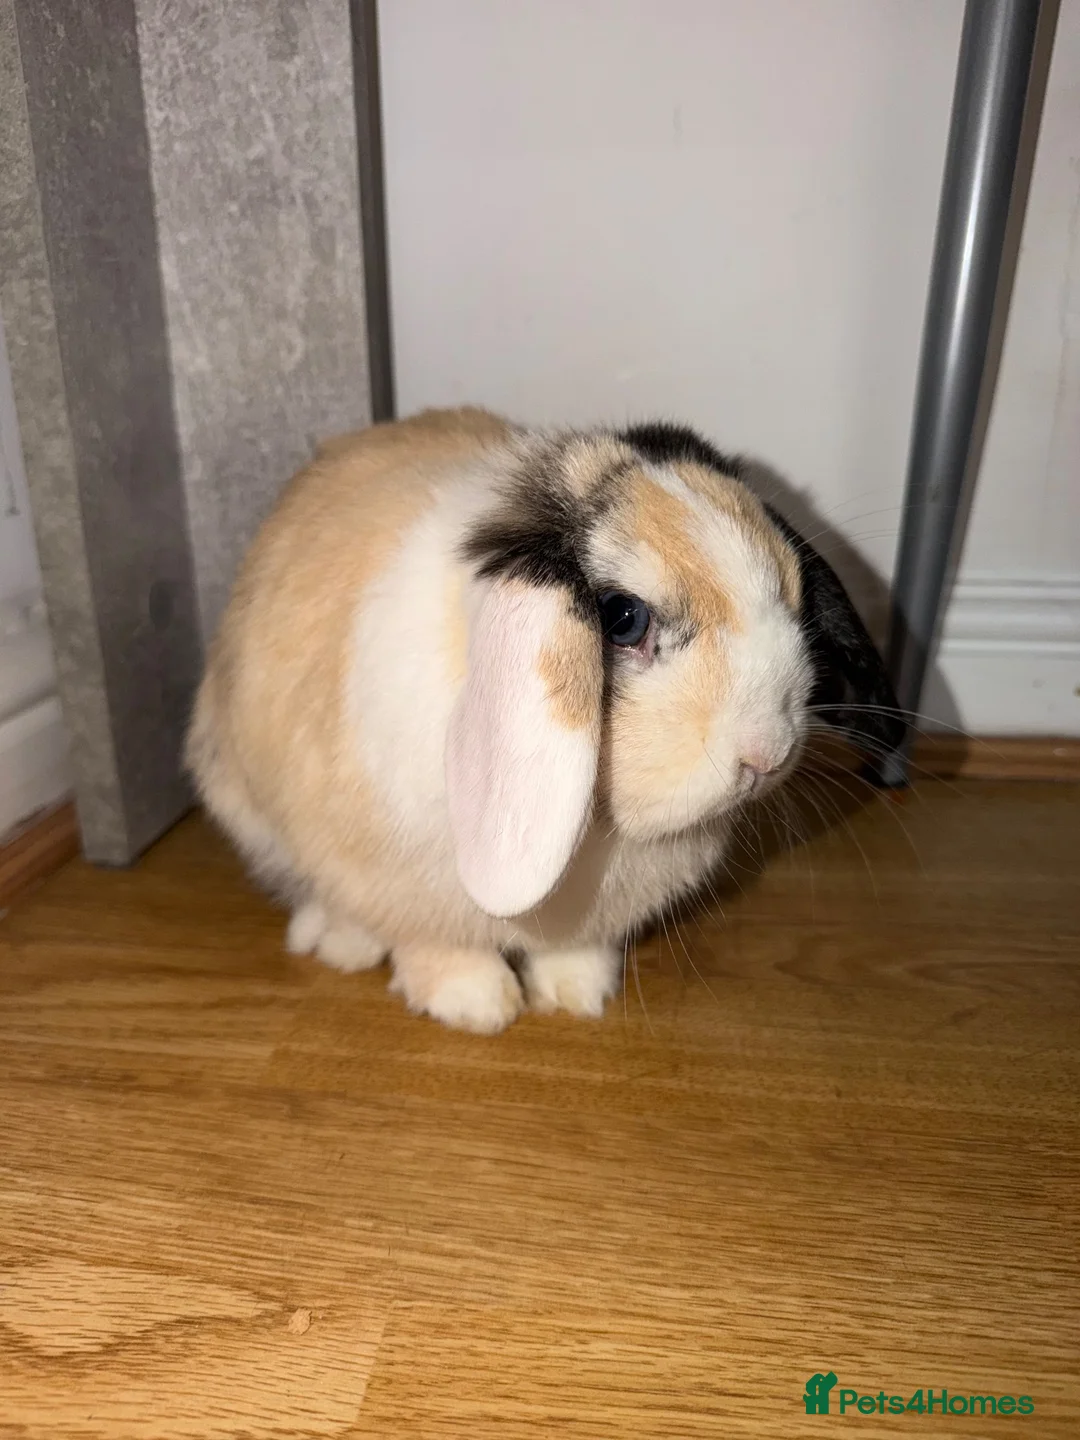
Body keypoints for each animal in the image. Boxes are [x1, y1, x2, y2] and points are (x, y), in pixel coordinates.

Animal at [186, 406, 904, 1033]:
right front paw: (477, 1008)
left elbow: (574, 950)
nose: (766, 756)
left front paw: (578, 994)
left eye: (793, 595)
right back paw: (339, 944)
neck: (599, 828)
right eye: (622, 618)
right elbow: (438, 946)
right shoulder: (403, 892)